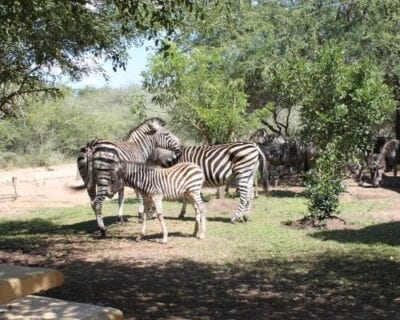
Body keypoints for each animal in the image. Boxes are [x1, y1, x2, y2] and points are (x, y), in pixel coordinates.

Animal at [124, 139, 268, 224]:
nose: (144, 218)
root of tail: (254, 145)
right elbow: (188, 197)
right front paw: (187, 213)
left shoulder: (183, 177)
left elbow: (186, 197)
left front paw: (186, 213)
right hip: (249, 174)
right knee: (250, 195)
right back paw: (246, 216)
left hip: (242, 172)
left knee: (244, 196)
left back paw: (235, 218)